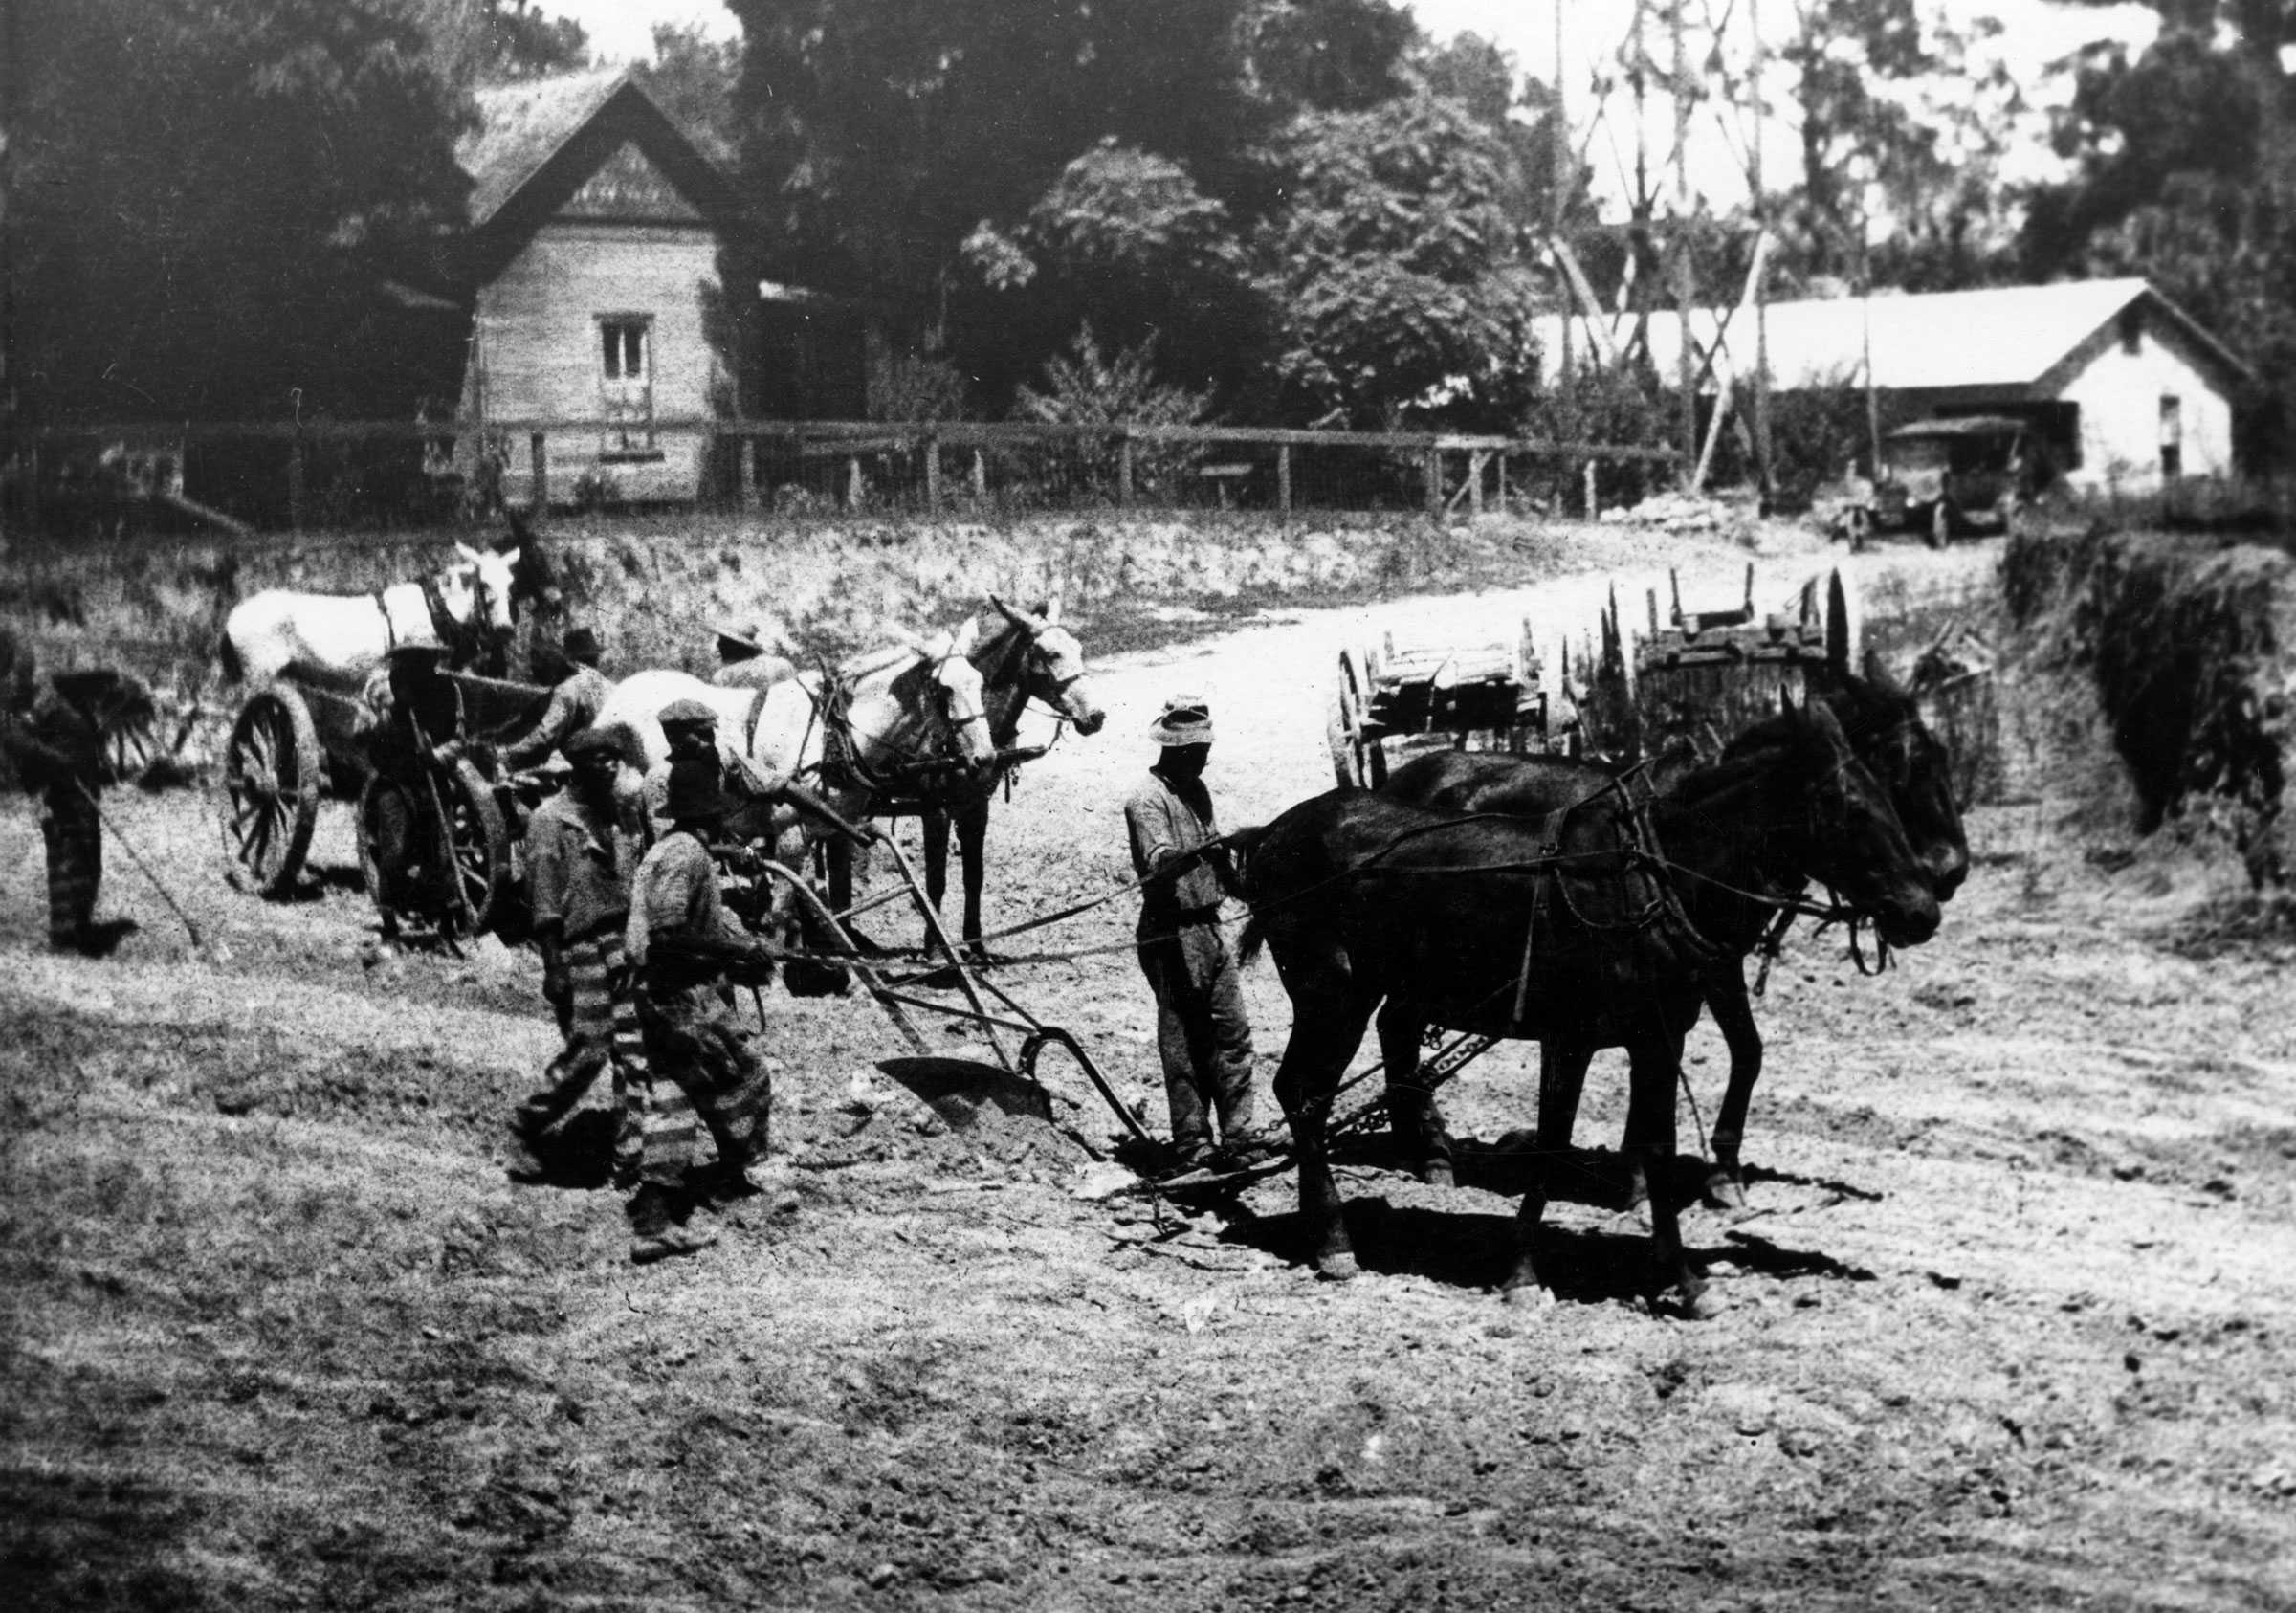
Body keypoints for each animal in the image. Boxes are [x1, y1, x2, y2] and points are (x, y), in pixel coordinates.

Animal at [914, 597, 1102, 956]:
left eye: (1078, 648)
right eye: (1051, 654)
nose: (1096, 716)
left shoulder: (977, 806)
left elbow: (974, 876)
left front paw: (976, 945)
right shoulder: (936, 810)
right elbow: (935, 880)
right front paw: (935, 947)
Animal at [1240, 702, 1937, 1323]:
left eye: (1889, 794)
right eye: (1850, 806)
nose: (1923, 910)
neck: (1647, 880)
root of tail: (1272, 833)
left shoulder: (1658, 1036)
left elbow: (1656, 1146)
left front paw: (1685, 1280)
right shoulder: (1568, 1039)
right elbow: (1551, 1148)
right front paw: (1523, 1275)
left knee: (1348, 1067)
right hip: (1331, 998)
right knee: (1302, 1093)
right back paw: (1335, 1241)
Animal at [1368, 652, 1965, 1204]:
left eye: (1941, 758)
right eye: (1903, 764)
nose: (1946, 879)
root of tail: (1402, 776)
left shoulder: (1708, 965)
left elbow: (1716, 1053)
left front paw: (1678, 1168)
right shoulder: (1708, 969)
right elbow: (1722, 1052)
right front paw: (1703, 1173)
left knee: (1397, 1024)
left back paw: (1421, 1142)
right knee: (1396, 1025)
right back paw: (1427, 1149)